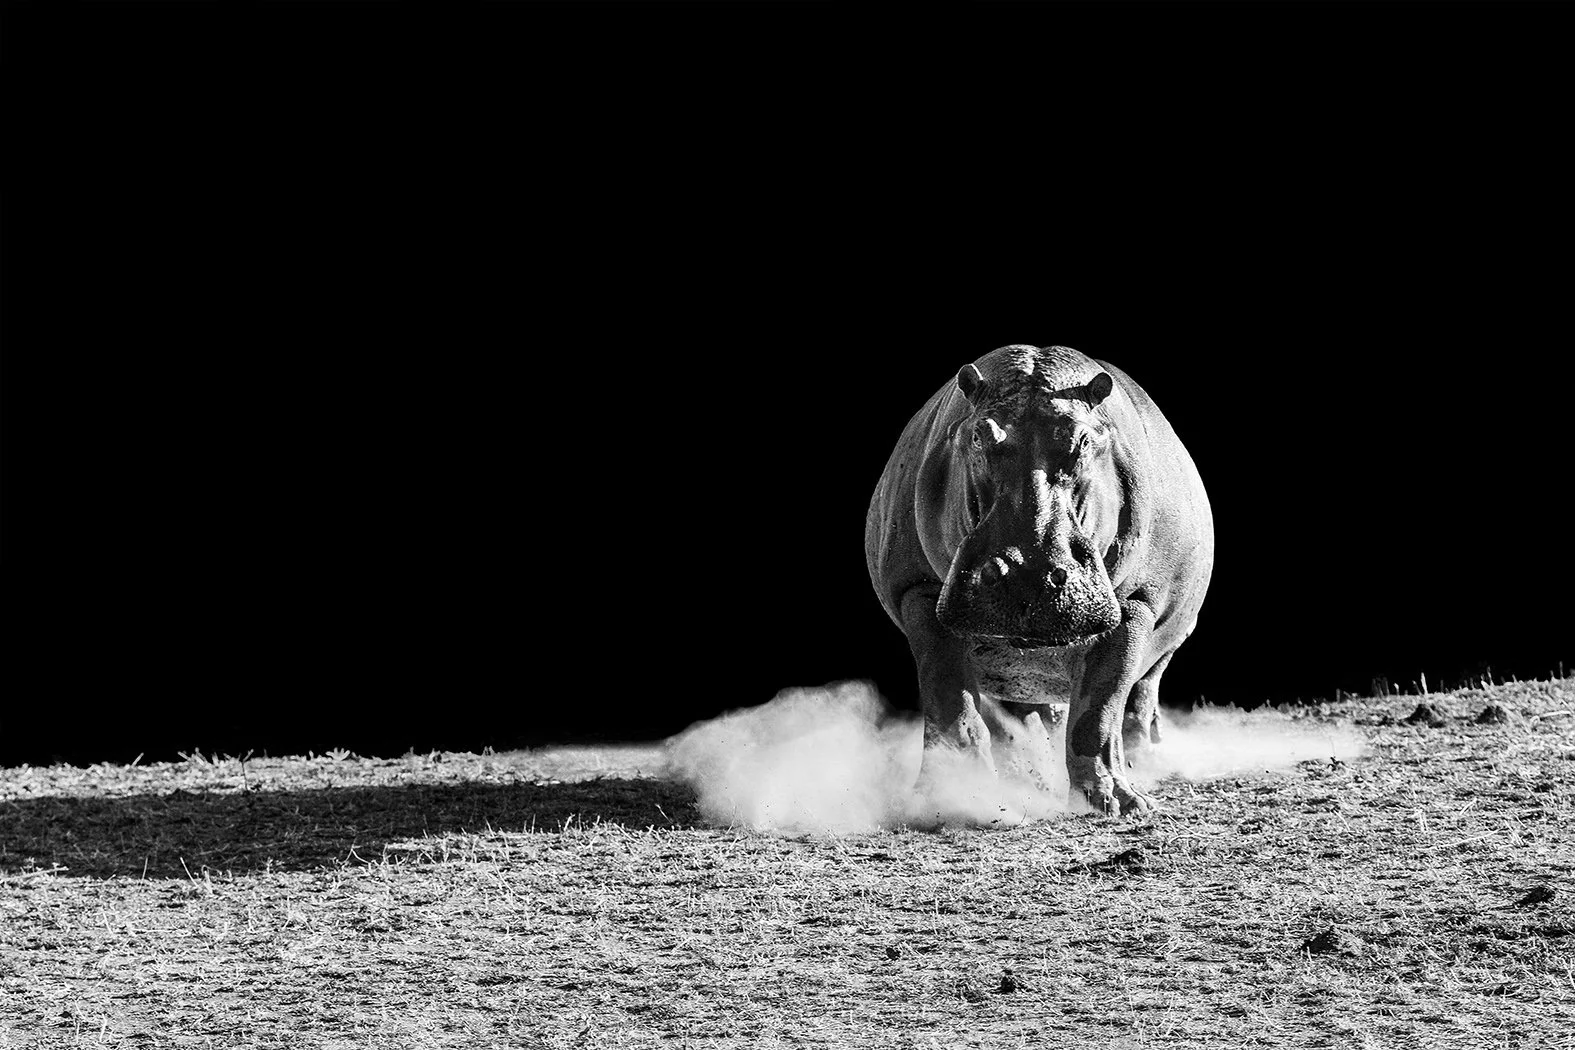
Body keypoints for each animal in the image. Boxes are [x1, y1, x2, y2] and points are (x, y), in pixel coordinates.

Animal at [865, 344, 1213, 817]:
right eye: (978, 436)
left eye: (1083, 441)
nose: (1029, 578)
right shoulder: (917, 592)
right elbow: (949, 697)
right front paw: (948, 798)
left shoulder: (1136, 603)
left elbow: (1099, 709)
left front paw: (1119, 805)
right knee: (1022, 712)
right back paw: (1027, 778)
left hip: (1169, 634)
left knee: (1140, 694)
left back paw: (1146, 765)